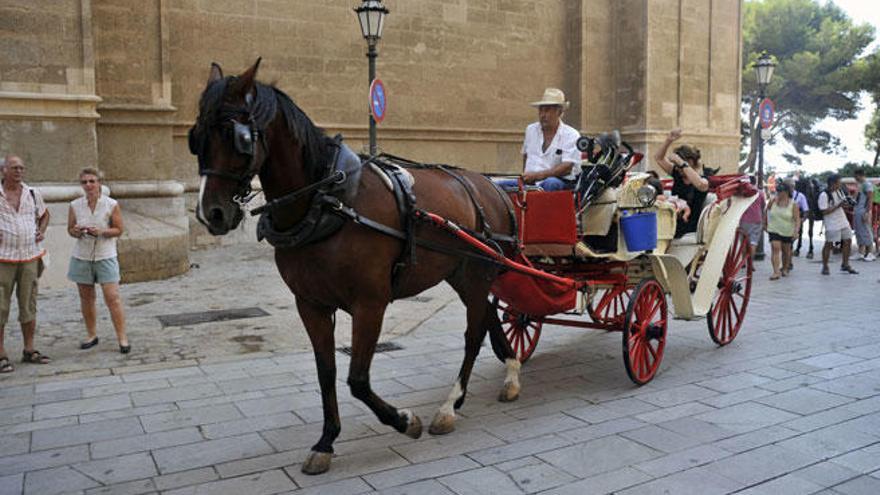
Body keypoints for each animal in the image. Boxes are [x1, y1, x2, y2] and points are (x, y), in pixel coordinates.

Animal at [191, 60, 524, 474]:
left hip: (477, 274)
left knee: (473, 333)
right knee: (489, 318)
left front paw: (404, 420)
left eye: (237, 138)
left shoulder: (370, 303)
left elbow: (358, 379)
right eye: (195, 137)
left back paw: (450, 406)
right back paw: (510, 372)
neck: (328, 201)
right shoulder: (311, 304)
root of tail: (492, 186)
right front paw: (326, 440)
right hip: (464, 275)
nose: (211, 214)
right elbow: (328, 372)